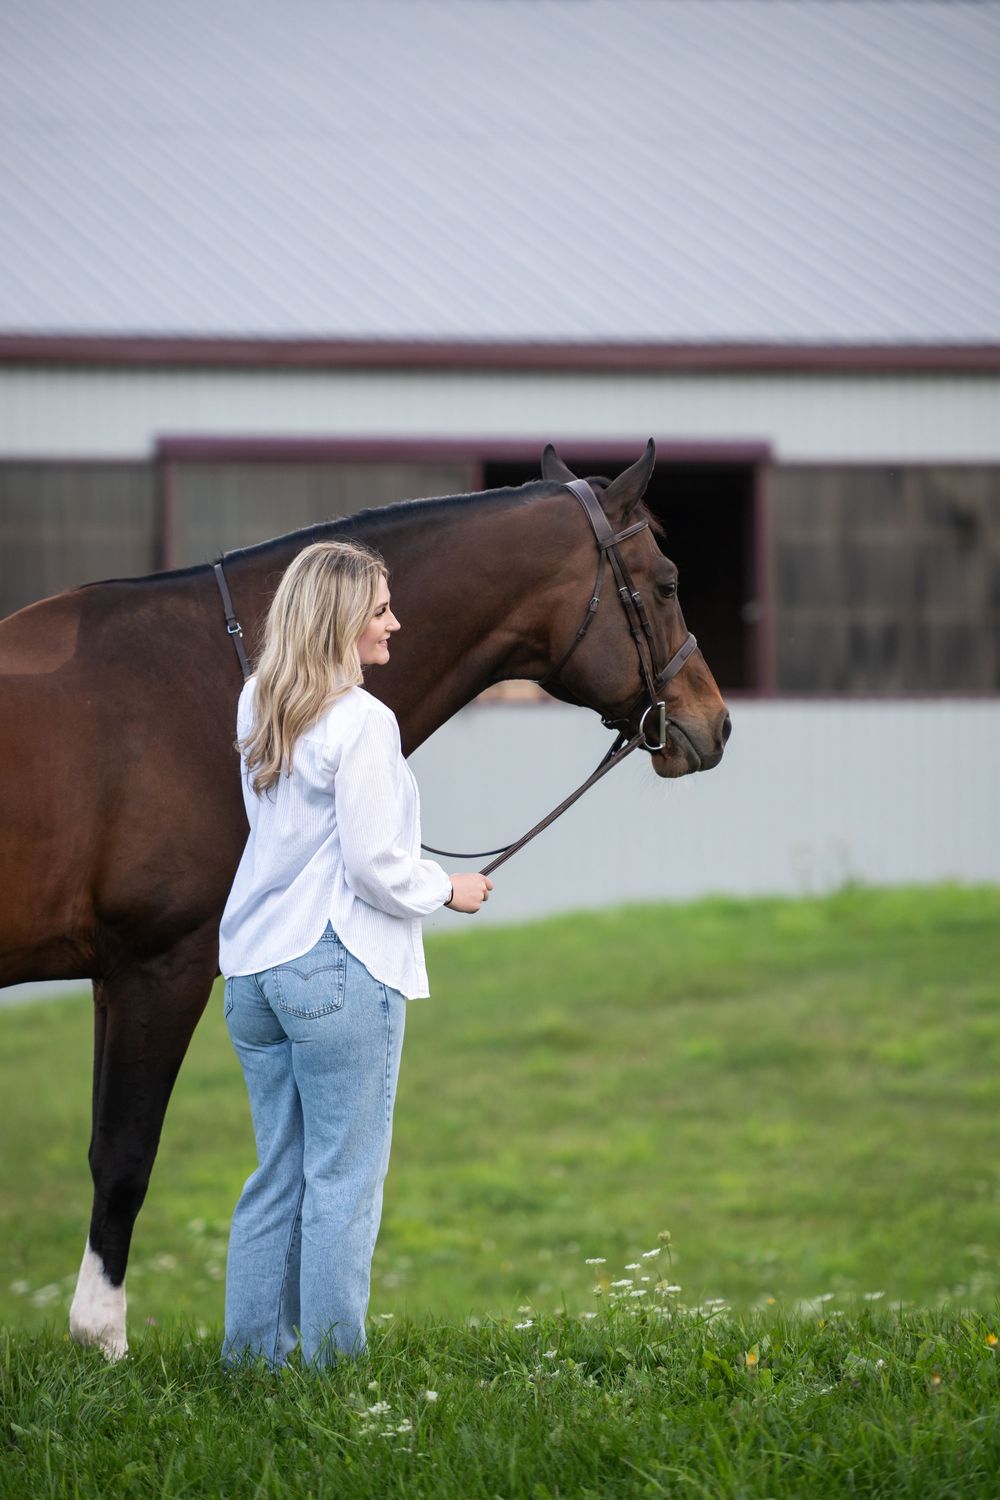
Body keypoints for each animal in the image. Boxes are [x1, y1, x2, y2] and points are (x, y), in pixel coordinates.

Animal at [0, 441, 730, 1358]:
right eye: (666, 582)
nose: (715, 722)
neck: (202, 682)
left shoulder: (115, 977)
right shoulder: (156, 969)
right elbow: (124, 1153)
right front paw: (101, 1340)